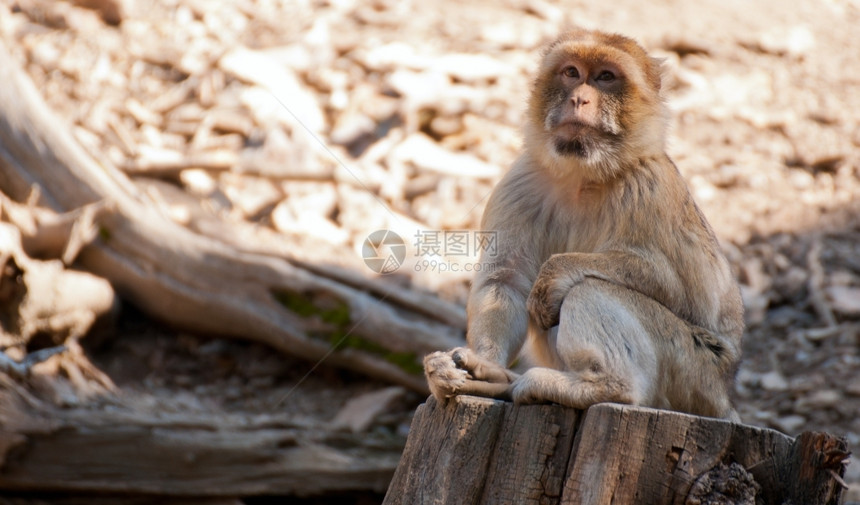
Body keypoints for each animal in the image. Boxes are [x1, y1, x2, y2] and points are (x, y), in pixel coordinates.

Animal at [424, 28, 744, 422]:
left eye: (606, 77)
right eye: (572, 72)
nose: (579, 98)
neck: (584, 173)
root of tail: (725, 399)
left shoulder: (649, 187)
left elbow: (681, 287)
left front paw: (555, 272)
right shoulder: (520, 182)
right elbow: (505, 280)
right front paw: (481, 367)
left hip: (695, 370)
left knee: (590, 289)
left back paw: (603, 387)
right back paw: (500, 381)